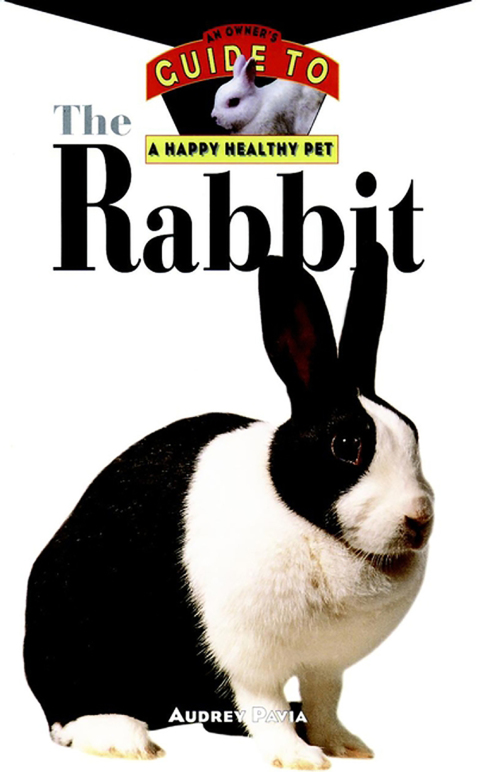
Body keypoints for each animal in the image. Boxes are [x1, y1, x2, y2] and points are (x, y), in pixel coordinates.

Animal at [24, 250, 434, 769]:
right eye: (347, 445)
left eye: (414, 433)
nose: (419, 520)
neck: (311, 526)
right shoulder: (249, 660)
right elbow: (265, 706)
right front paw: (300, 757)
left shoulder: (325, 664)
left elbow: (325, 700)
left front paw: (344, 746)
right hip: (77, 639)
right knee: (69, 712)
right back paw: (124, 739)